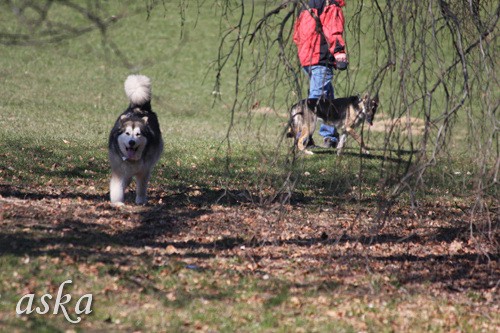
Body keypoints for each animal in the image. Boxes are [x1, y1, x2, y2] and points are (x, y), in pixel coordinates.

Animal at [108, 75, 164, 204]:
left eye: (138, 134)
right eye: (127, 133)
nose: (131, 142)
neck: (131, 160)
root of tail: (139, 107)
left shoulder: (144, 171)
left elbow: (141, 187)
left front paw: (140, 200)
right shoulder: (119, 169)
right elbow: (117, 186)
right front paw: (117, 202)